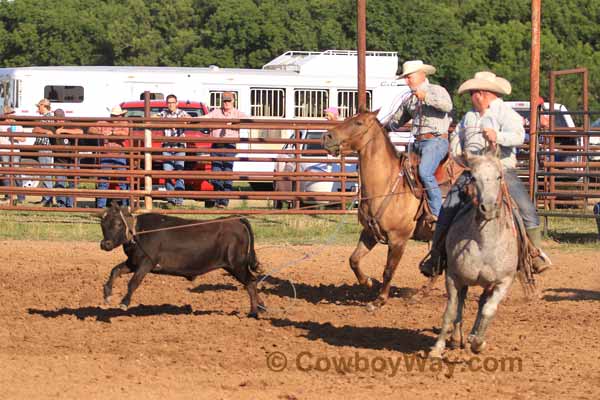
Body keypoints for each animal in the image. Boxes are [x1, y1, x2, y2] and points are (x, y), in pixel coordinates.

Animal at [322, 110, 424, 310]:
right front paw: (368, 282)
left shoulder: (398, 239)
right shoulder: (369, 232)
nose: (327, 136)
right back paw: (419, 295)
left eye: (359, 122)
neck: (387, 185)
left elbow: (388, 270)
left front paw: (380, 300)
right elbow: (353, 260)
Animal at [428, 153, 516, 356]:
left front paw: (478, 343)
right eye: (474, 178)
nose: (488, 208)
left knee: (482, 303)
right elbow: (451, 310)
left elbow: (488, 310)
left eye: (499, 176)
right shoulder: (453, 276)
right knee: (462, 300)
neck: (485, 244)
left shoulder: (504, 281)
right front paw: (437, 348)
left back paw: (471, 336)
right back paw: (456, 338)